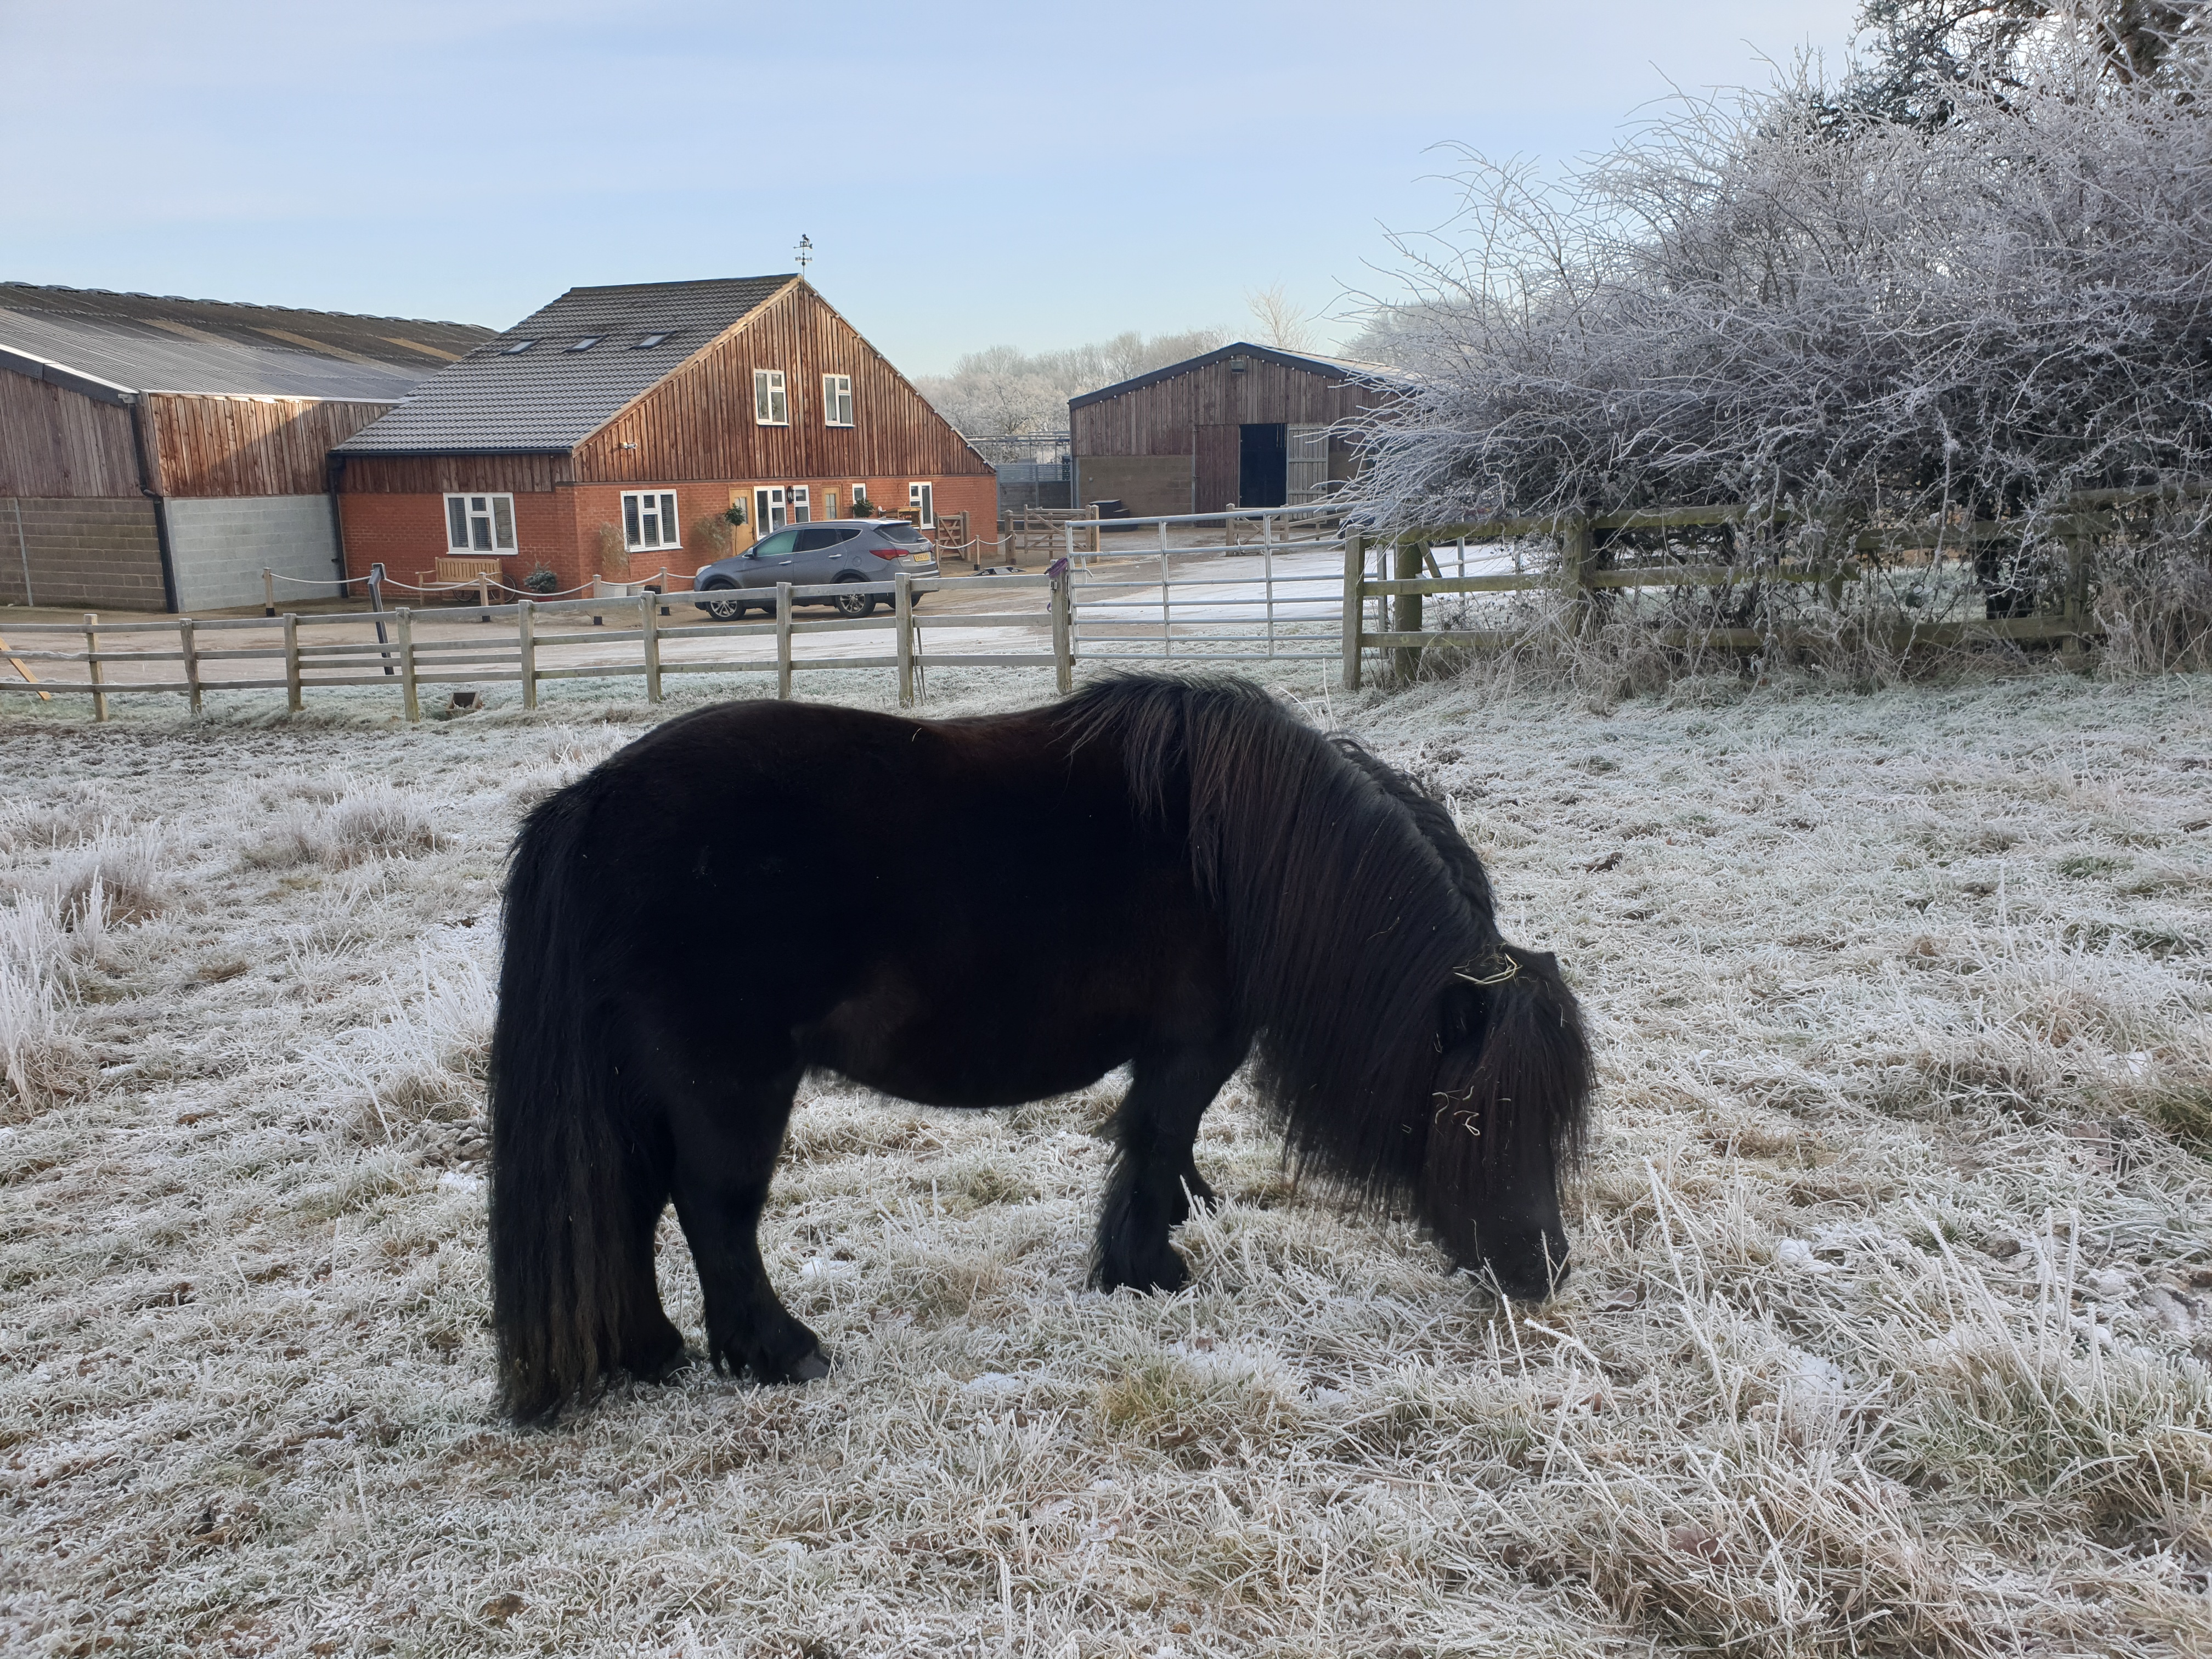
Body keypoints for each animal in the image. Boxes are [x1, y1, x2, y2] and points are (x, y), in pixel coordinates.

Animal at [487, 676, 1593, 1433]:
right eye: (1486, 1114)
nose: (1545, 1269)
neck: (1245, 857)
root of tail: (591, 802)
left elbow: (1161, 1150)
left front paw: (1164, 1237)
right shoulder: (1191, 1046)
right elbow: (1157, 1142)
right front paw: (1148, 1269)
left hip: (641, 1088)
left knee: (626, 1202)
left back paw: (651, 1351)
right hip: (729, 1084)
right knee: (712, 1209)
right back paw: (778, 1350)